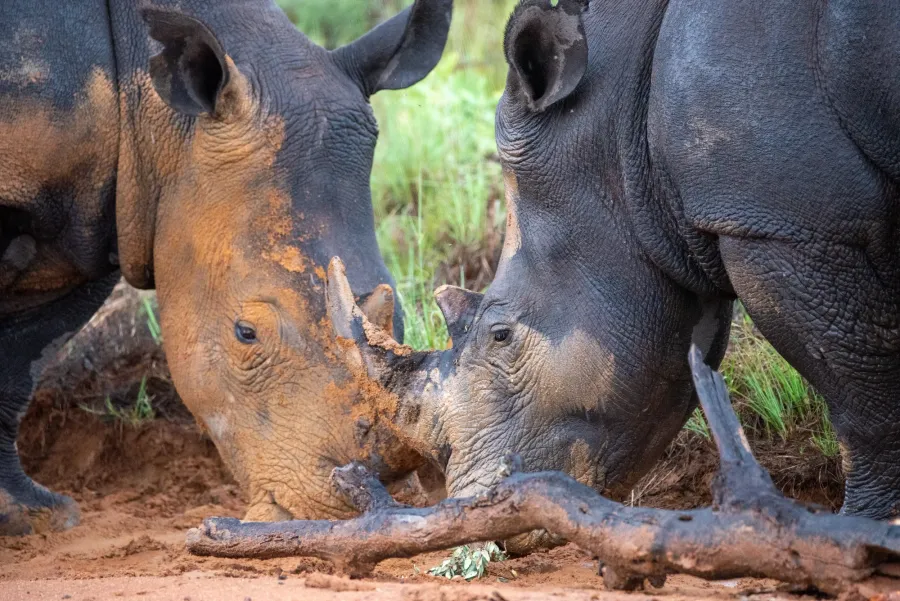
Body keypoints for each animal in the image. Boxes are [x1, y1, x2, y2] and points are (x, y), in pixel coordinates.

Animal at [0, 0, 451, 535]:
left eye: (396, 312)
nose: (386, 495)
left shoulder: (102, 218)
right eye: (245, 333)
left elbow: (18, 360)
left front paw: (32, 516)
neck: (162, 120)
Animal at [327, 0, 900, 546]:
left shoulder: (782, 224)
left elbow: (859, 389)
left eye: (500, 335)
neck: (619, 125)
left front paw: (866, 526)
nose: (472, 508)